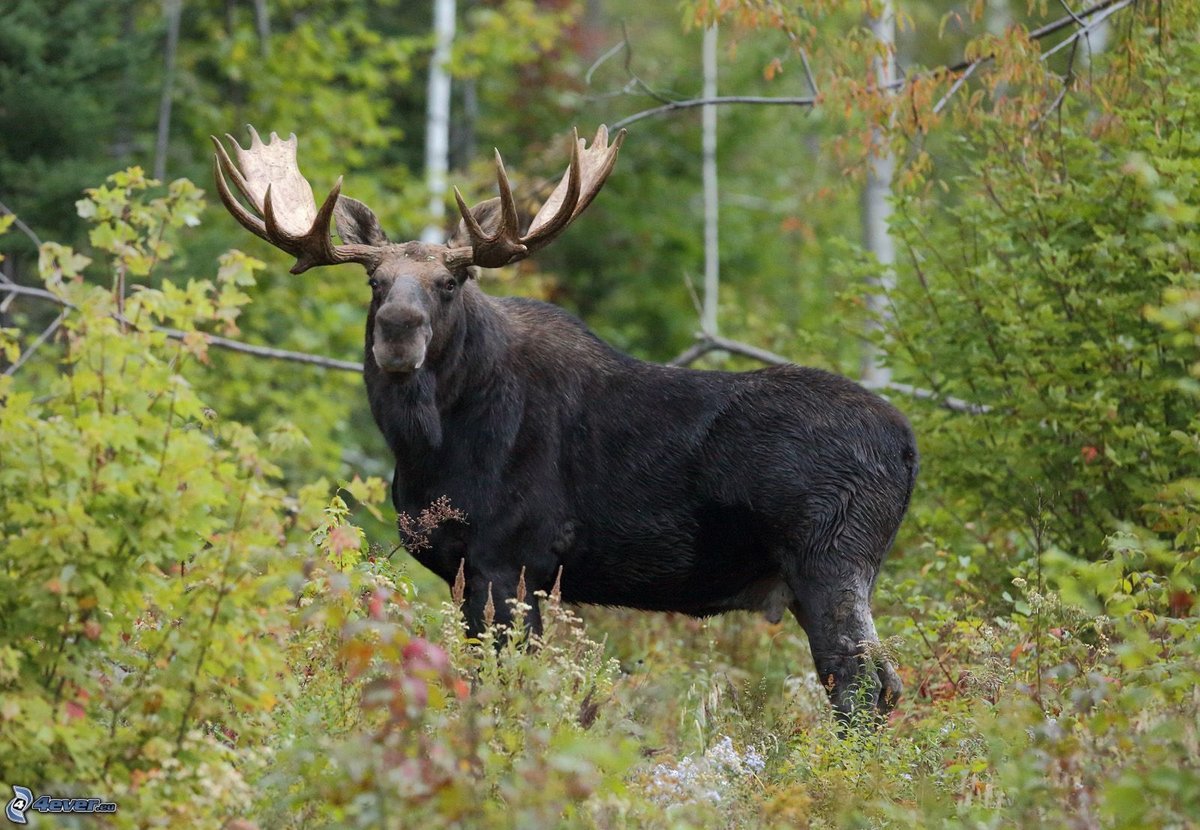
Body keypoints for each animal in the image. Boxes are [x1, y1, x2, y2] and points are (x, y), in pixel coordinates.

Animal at [211, 124, 916, 719]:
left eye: (451, 281)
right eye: (374, 282)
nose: (398, 329)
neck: (426, 450)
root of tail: (909, 448)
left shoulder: (512, 557)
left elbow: (507, 682)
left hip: (831, 557)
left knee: (861, 684)